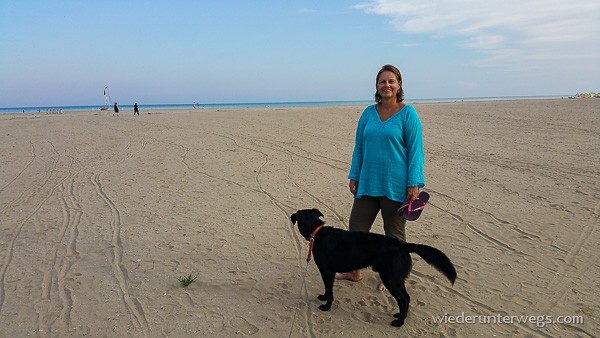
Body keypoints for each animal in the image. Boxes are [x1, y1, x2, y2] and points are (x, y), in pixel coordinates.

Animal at [292, 207, 458, 326]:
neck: (317, 232)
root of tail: (401, 244)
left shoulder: (327, 271)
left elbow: (330, 290)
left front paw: (327, 306)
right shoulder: (329, 272)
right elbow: (327, 289)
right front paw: (323, 297)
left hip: (390, 279)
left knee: (403, 300)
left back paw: (399, 323)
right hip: (397, 279)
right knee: (407, 298)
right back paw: (400, 316)